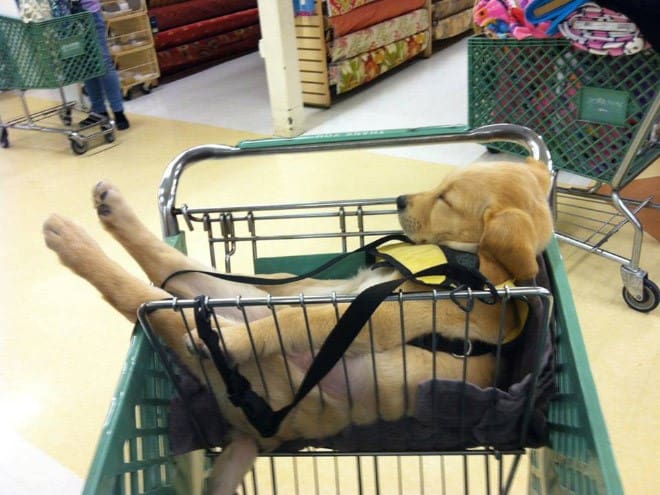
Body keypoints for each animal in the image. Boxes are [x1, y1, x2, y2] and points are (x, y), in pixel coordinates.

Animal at [43, 159, 556, 495]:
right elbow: (296, 306)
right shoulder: (333, 289)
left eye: (447, 199)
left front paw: (233, 340)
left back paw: (74, 243)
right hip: (245, 296)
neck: (463, 267)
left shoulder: (377, 315)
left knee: (147, 301)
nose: (399, 200)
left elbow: (302, 317)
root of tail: (251, 434)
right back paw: (109, 212)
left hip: (248, 361)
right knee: (171, 267)